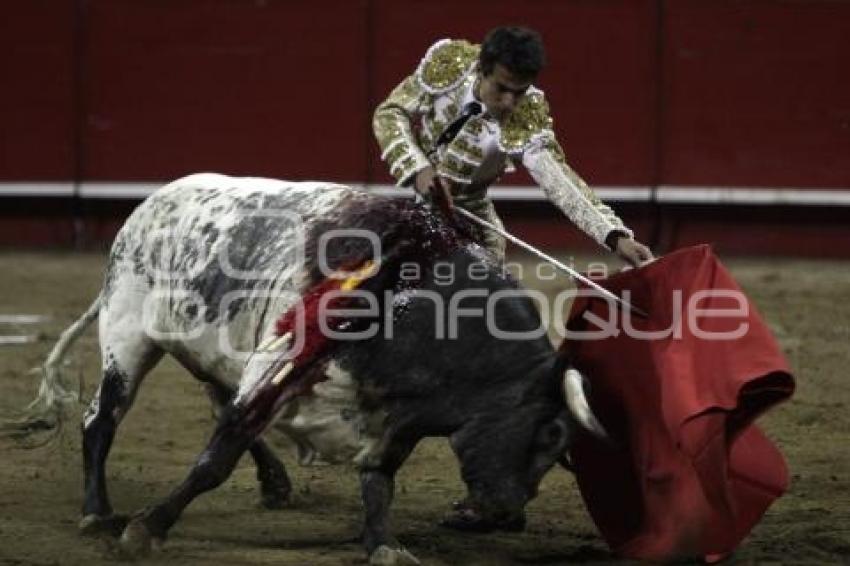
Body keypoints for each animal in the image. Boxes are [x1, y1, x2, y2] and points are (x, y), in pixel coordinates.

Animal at [14, 175, 604, 564]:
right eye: (550, 434)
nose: (507, 513)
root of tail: (151, 205)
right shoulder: (276, 369)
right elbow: (217, 457)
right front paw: (147, 530)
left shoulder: (392, 417)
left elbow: (379, 480)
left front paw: (384, 545)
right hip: (127, 334)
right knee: (102, 420)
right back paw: (96, 512)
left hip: (211, 349)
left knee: (213, 398)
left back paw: (274, 483)